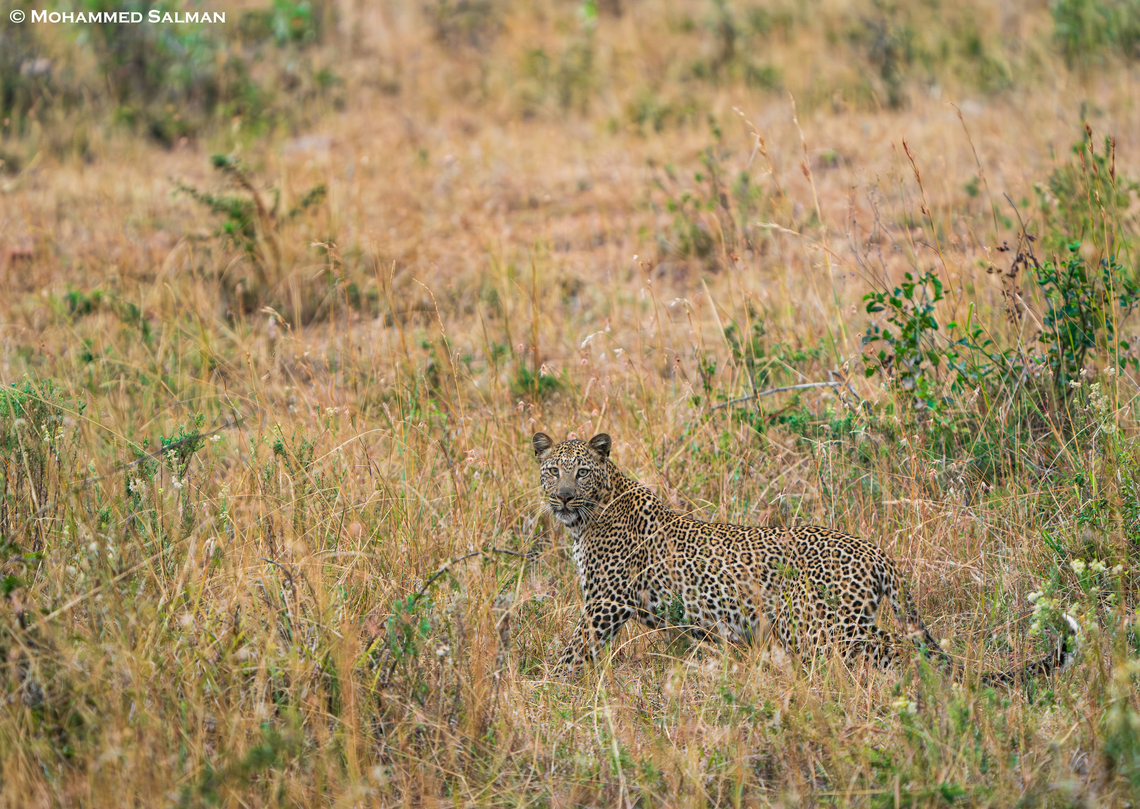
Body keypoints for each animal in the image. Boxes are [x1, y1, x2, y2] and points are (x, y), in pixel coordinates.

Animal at [532, 431, 1077, 683]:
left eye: (581, 472)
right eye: (553, 470)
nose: (562, 496)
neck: (589, 516)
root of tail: (876, 550)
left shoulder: (604, 604)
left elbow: (572, 652)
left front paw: (546, 688)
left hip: (824, 626)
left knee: (898, 648)